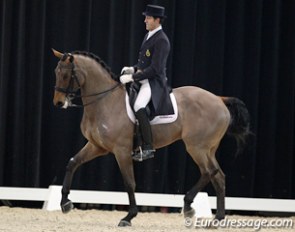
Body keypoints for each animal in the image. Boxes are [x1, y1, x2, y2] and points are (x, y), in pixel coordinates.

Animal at [52, 48, 251, 227]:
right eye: (56, 72)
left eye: (66, 75)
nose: (58, 103)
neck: (105, 101)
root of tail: (219, 99)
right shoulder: (97, 146)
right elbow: (72, 163)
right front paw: (65, 203)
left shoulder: (121, 150)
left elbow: (129, 182)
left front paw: (129, 216)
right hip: (208, 149)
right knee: (219, 177)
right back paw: (217, 219)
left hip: (196, 147)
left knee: (209, 172)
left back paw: (188, 206)